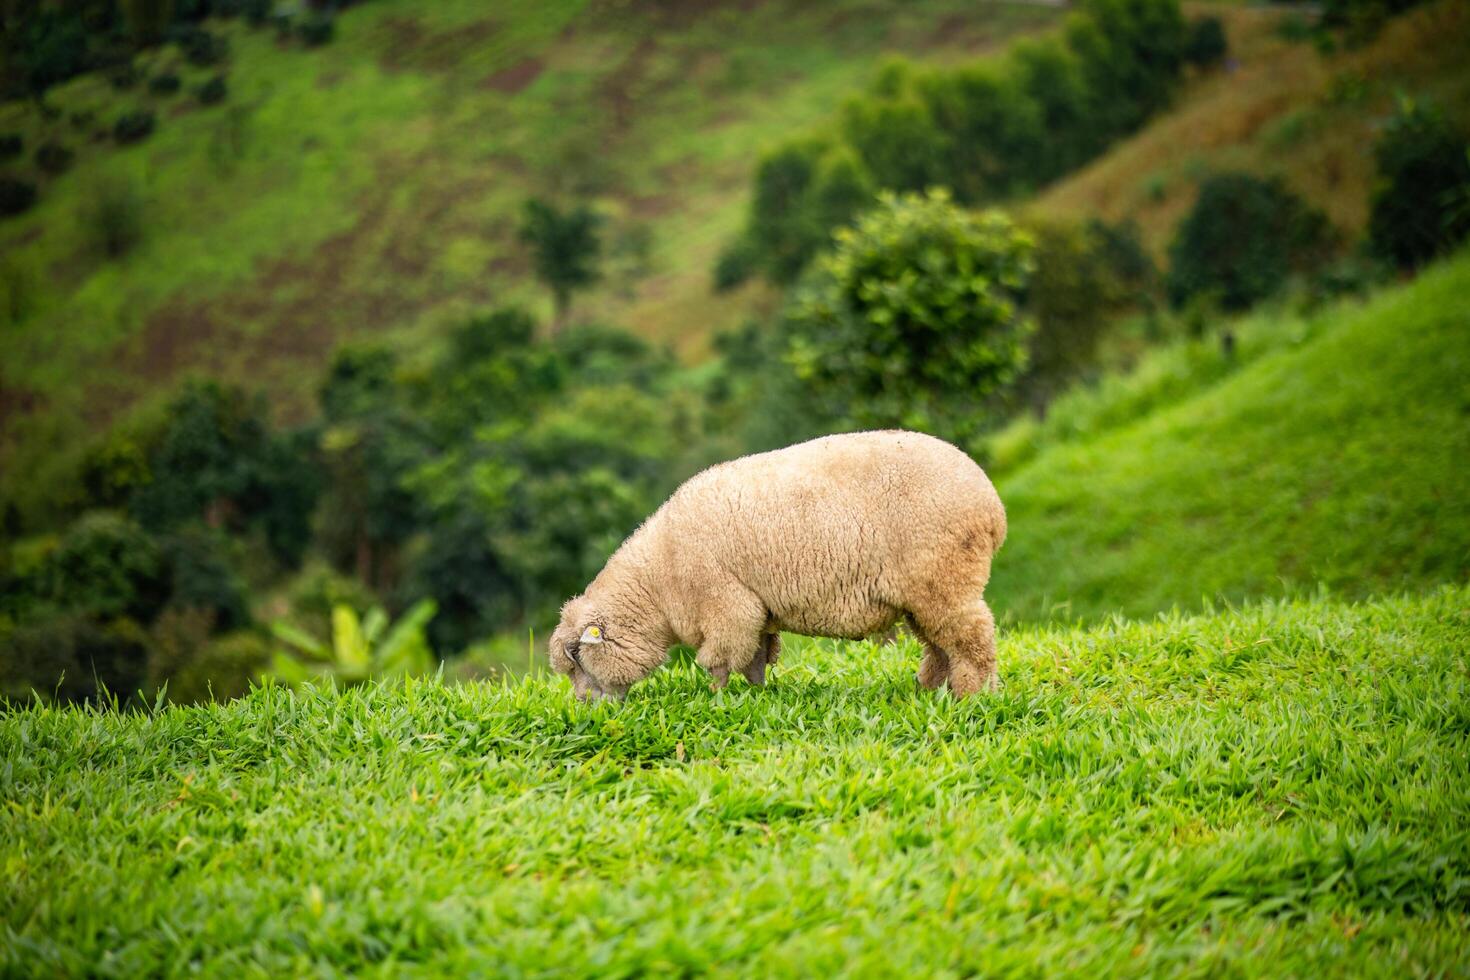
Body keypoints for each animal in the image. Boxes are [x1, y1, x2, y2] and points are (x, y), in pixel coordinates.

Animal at [552, 429, 1011, 696]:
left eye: (578, 661)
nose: (585, 708)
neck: (659, 581)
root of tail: (992, 504)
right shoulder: (756, 609)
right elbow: (756, 657)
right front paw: (757, 695)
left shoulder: (727, 606)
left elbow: (720, 662)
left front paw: (717, 699)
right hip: (926, 591)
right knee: (940, 643)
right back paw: (932, 689)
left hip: (946, 576)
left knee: (973, 638)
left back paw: (973, 695)